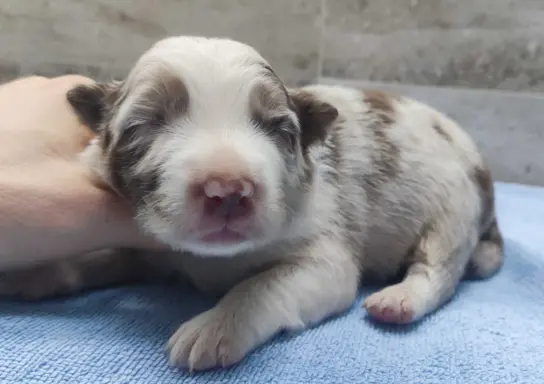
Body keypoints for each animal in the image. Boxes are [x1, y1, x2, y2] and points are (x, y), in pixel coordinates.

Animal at [0, 37, 504, 370]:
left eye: (279, 129)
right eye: (144, 126)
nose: (227, 188)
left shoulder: (323, 256)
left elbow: (261, 285)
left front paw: (214, 328)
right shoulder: (142, 244)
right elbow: (100, 254)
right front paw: (38, 274)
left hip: (452, 209)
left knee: (439, 270)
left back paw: (399, 299)